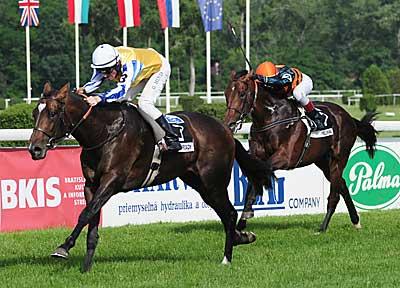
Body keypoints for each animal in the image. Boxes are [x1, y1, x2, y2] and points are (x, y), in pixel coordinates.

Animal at [27, 81, 272, 272]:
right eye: (34, 113)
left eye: (52, 113)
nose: (35, 149)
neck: (104, 132)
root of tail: (224, 129)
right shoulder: (91, 185)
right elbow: (92, 219)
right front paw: (86, 267)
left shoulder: (113, 180)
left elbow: (85, 214)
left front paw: (63, 247)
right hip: (199, 183)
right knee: (225, 214)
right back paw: (243, 237)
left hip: (213, 182)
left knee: (230, 214)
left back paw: (226, 258)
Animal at [225, 71, 378, 233]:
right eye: (226, 94)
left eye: (242, 94)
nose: (229, 123)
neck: (272, 117)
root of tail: (348, 117)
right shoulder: (256, 157)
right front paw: (241, 223)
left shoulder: (285, 157)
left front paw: (245, 216)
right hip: (322, 161)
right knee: (342, 185)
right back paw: (355, 221)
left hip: (339, 158)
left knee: (335, 194)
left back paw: (323, 227)